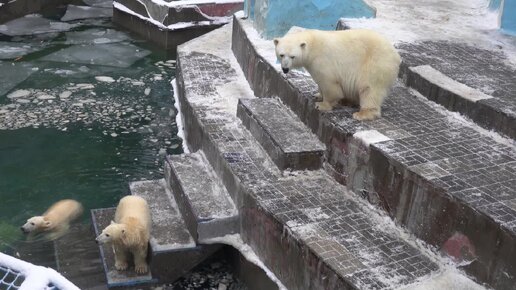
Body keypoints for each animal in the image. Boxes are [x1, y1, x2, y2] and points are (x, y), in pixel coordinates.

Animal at [272, 28, 402, 119]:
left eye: (293, 56)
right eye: (281, 54)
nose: (285, 69)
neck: (313, 45)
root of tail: (396, 56)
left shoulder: (322, 61)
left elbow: (329, 84)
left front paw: (322, 105)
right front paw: (318, 95)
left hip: (375, 64)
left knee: (369, 89)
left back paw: (362, 114)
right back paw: (347, 101)